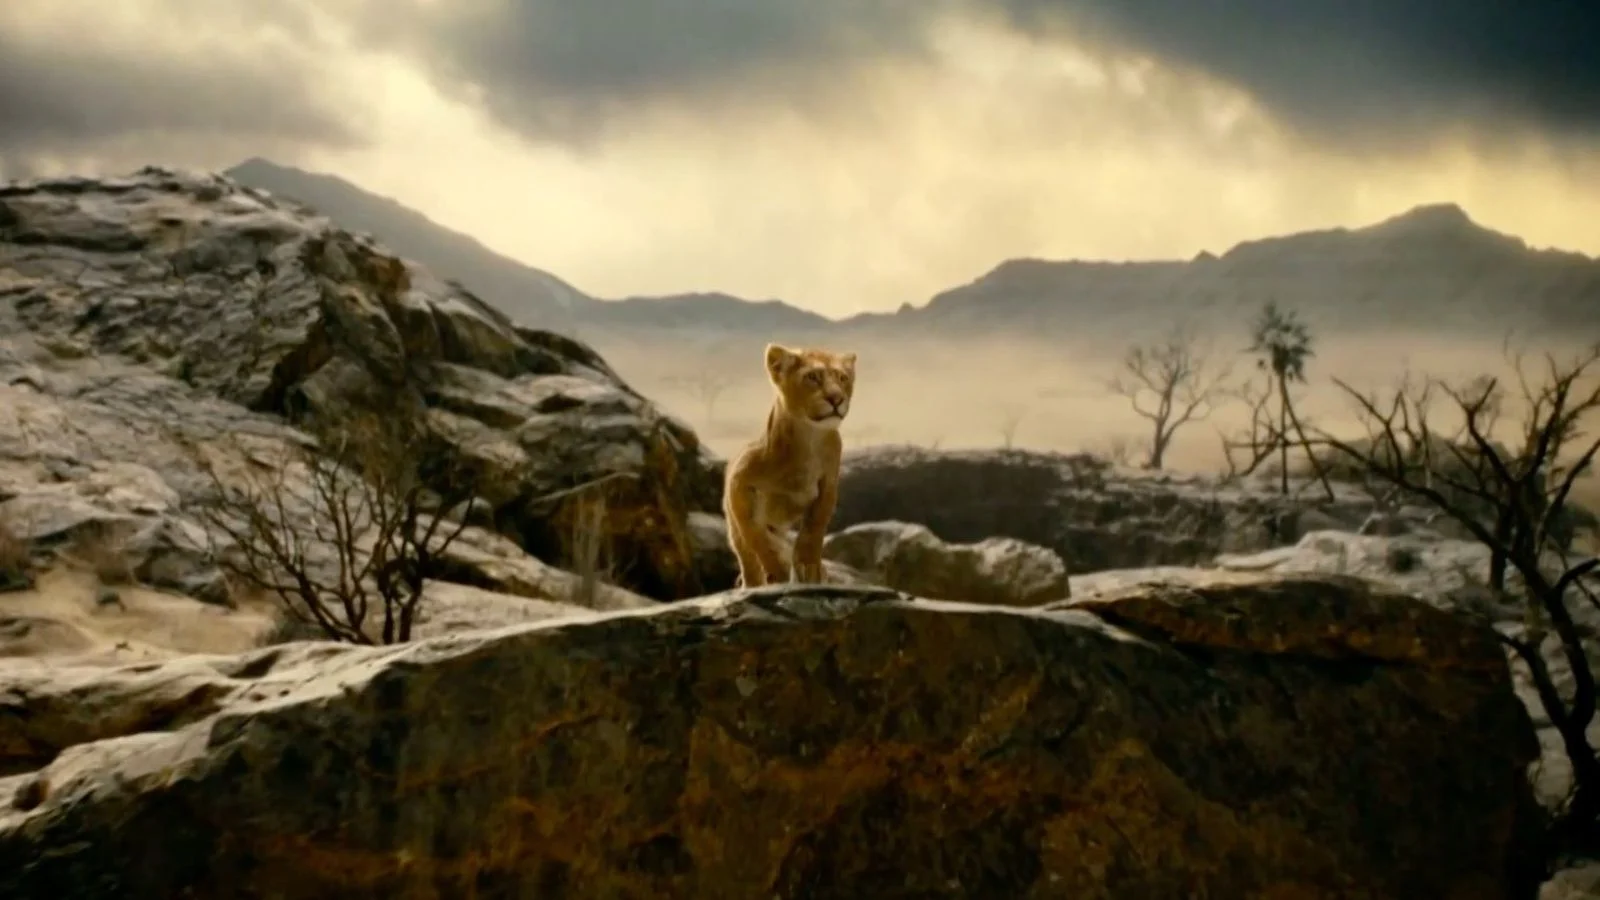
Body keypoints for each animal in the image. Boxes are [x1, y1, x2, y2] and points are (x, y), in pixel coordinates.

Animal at [723, 343, 857, 587]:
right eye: (812, 377)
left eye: (842, 378)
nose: (836, 399)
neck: (808, 440)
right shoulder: (738, 482)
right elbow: (755, 535)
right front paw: (777, 569)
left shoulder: (828, 484)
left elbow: (814, 527)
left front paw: (810, 566)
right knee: (747, 556)